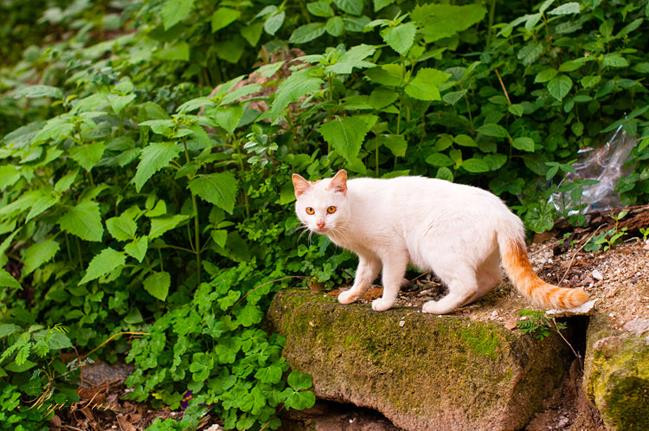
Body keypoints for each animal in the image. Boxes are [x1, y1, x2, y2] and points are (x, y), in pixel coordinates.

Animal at [292, 170, 588, 316]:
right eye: (310, 210)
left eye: (331, 209)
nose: (320, 224)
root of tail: (506, 214)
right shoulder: (369, 256)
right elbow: (362, 278)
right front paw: (351, 296)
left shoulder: (392, 251)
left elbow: (389, 281)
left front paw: (384, 303)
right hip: (484, 258)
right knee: (488, 280)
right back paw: (461, 303)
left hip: (434, 246)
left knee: (466, 283)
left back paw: (439, 308)